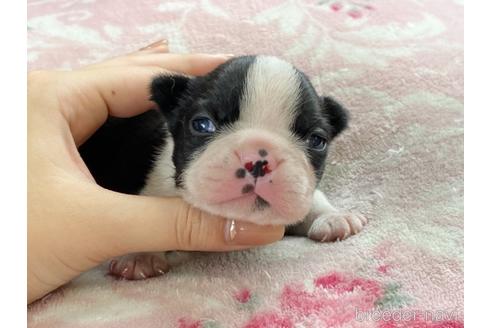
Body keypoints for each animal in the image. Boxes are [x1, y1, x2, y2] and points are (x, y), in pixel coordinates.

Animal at [79, 54, 368, 280]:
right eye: (202, 124)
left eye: (317, 140)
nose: (258, 157)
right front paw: (140, 255)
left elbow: (312, 198)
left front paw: (333, 217)